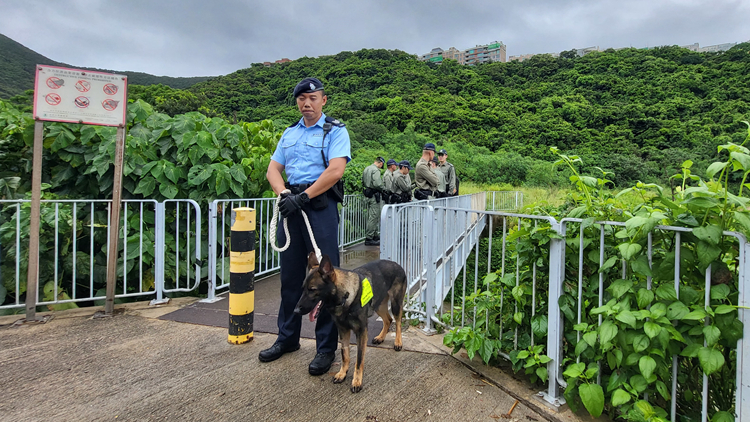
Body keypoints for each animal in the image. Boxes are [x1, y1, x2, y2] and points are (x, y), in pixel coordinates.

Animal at [296, 251, 412, 392]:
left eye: (312, 289)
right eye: (303, 288)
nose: (295, 310)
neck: (345, 298)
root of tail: (396, 263)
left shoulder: (361, 332)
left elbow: (359, 359)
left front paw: (357, 381)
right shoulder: (343, 331)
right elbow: (344, 354)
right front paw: (342, 373)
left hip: (395, 304)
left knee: (398, 321)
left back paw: (398, 342)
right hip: (378, 306)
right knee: (388, 320)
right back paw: (380, 337)